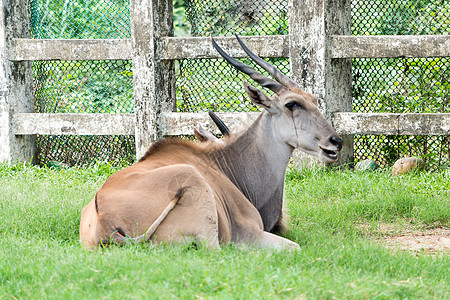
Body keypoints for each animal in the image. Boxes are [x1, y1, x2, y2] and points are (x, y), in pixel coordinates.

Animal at [79, 35, 342, 251]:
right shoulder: (249, 234)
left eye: (314, 100)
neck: (226, 163)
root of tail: (106, 224)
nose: (336, 141)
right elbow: (295, 247)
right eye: (292, 104)